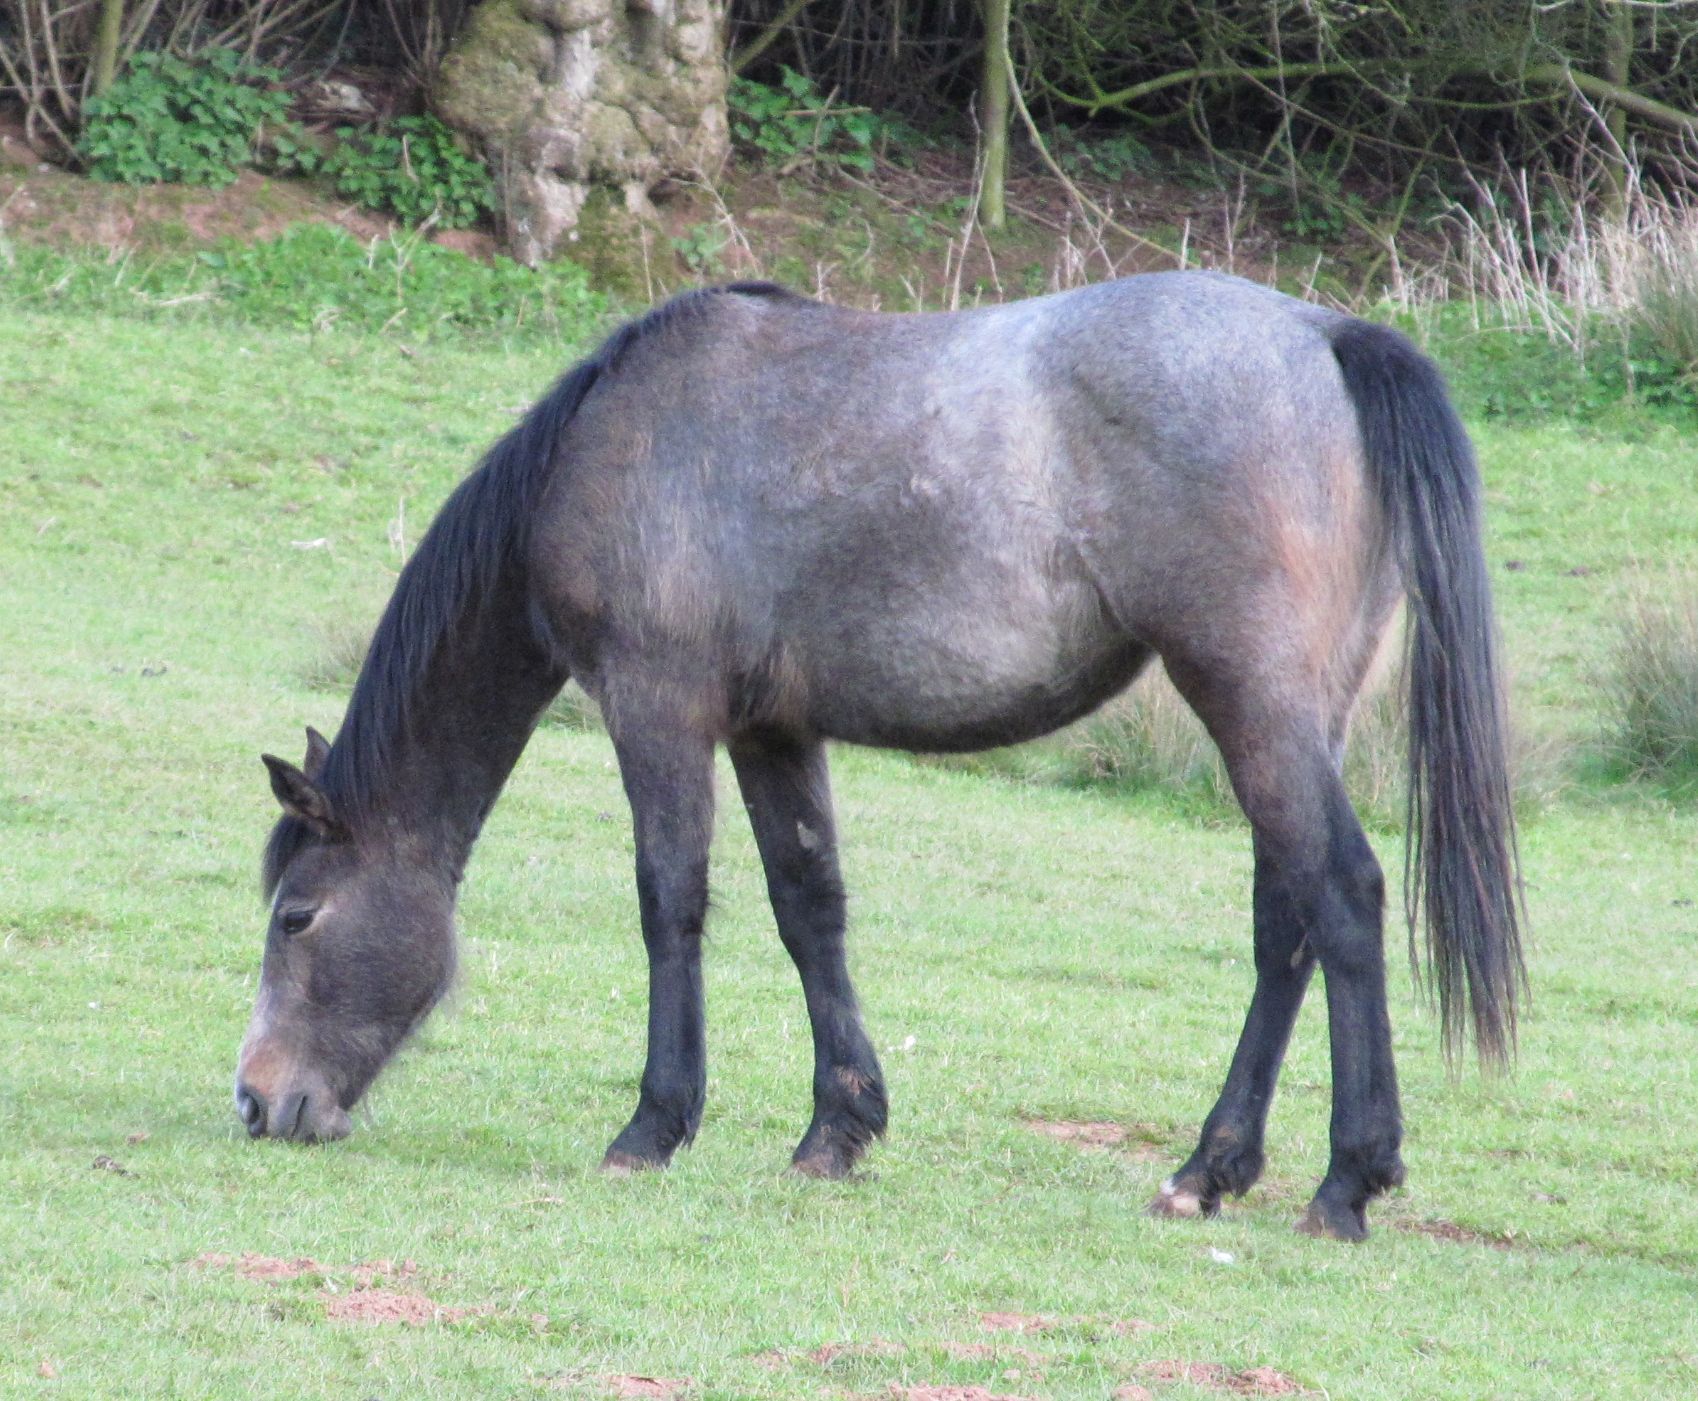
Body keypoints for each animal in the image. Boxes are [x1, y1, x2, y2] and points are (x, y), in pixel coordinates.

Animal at [239, 270, 1528, 1236]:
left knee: (1343, 897)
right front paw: (838, 1128)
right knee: (1286, 926)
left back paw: (1347, 1180)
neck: (617, 437)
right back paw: (1209, 1169)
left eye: (297, 916)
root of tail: (1327, 335)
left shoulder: (659, 710)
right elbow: (810, 907)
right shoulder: (772, 729)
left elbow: (671, 903)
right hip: (1296, 720)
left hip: (1251, 708)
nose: (257, 1104)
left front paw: (654, 1126)